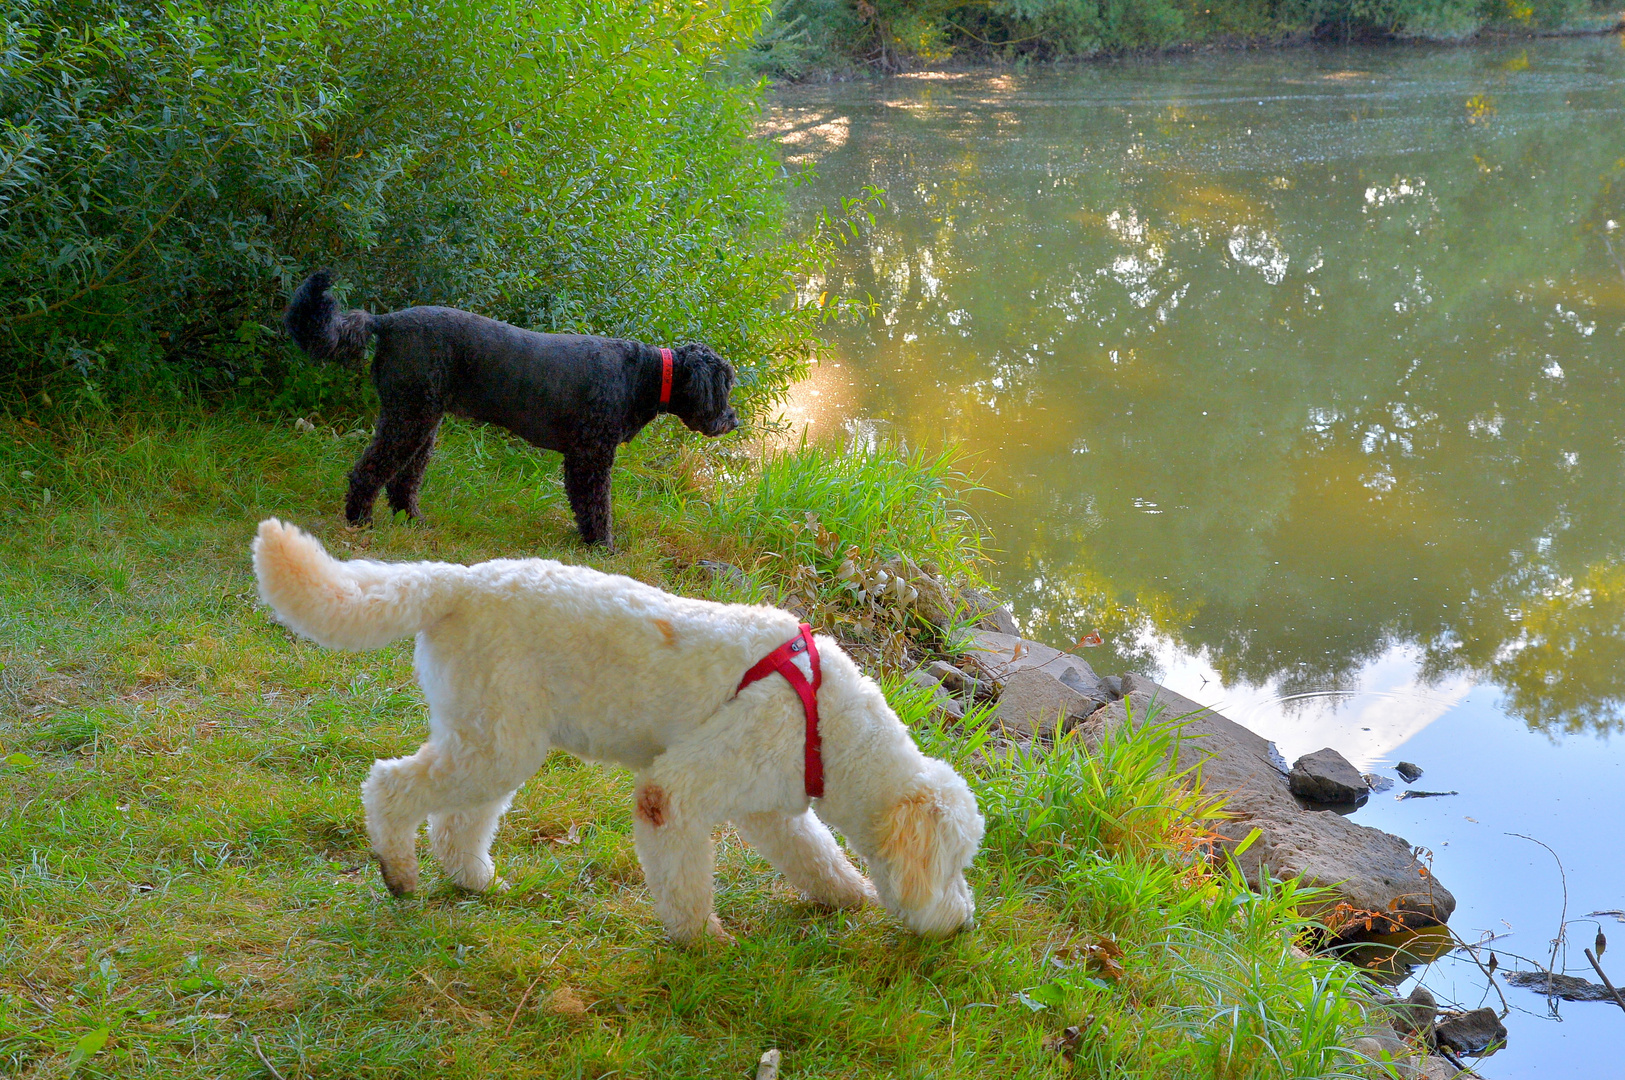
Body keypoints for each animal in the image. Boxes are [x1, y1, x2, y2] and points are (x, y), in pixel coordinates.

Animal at [248, 519, 981, 941]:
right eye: (955, 865)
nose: (964, 922)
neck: (827, 723)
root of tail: (455, 584)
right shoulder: (674, 795)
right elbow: (685, 880)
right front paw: (705, 943)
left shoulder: (771, 806)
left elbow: (816, 855)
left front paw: (847, 894)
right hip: (493, 743)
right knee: (390, 787)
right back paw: (398, 872)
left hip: (491, 734)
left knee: (457, 822)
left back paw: (473, 881)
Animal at [284, 269, 737, 548]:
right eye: (725, 385)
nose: (733, 420)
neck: (645, 375)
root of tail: (388, 321)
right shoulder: (591, 457)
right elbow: (596, 506)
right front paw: (603, 547)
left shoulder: (583, 456)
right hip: (409, 418)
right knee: (370, 469)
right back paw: (360, 518)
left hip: (421, 421)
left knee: (403, 478)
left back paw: (412, 519)